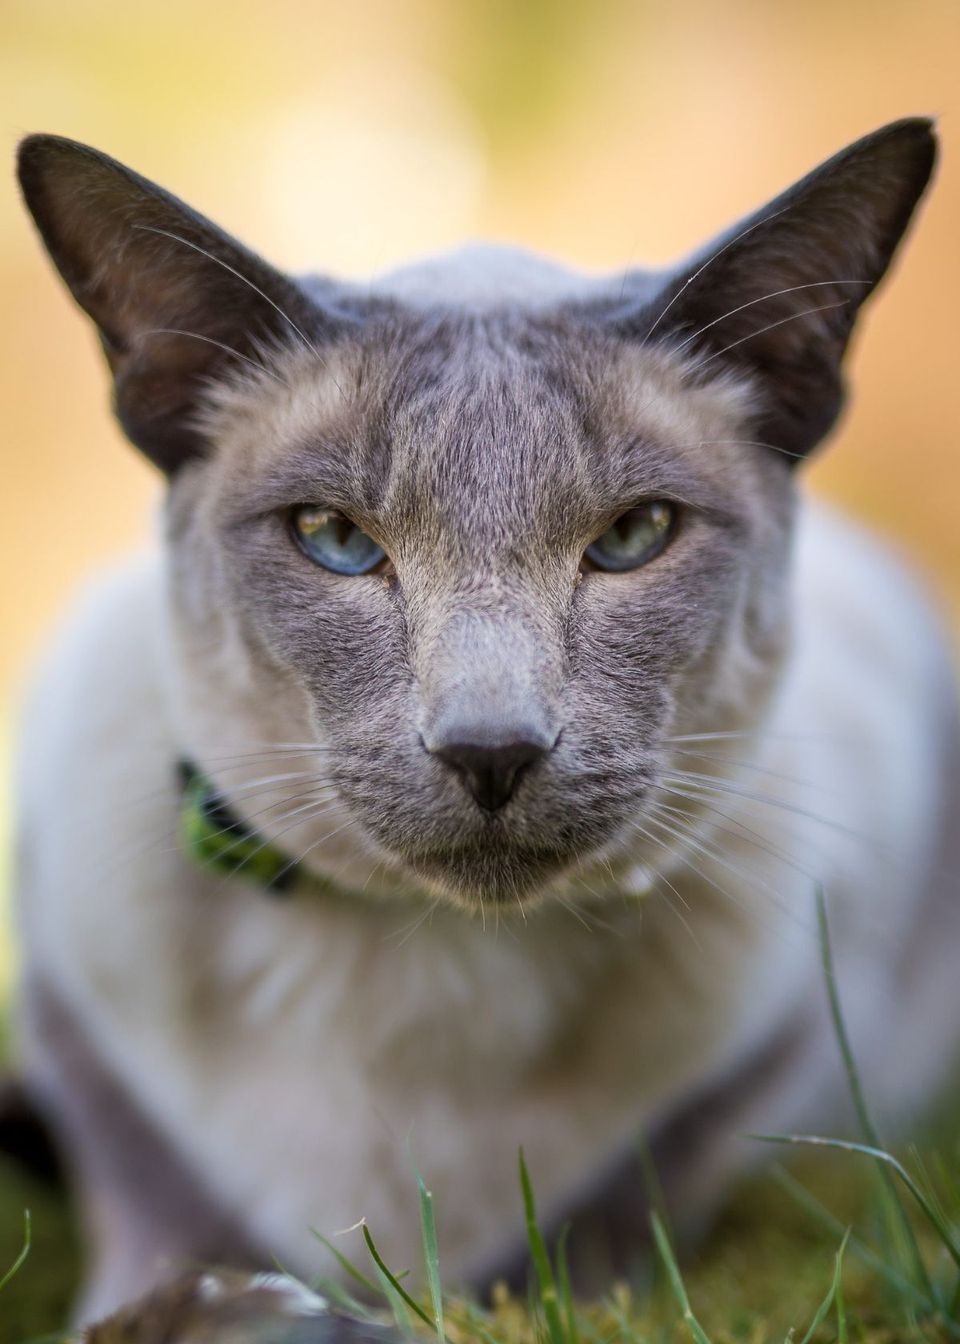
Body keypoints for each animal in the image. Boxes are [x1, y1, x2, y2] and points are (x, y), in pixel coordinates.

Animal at [14, 118, 957, 1322]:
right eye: (334, 539)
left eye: (634, 536)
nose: (491, 751)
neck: (432, 971)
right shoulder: (68, 999)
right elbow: (153, 1203)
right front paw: (197, 1304)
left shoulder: (794, 1019)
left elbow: (628, 1200)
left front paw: (528, 1297)